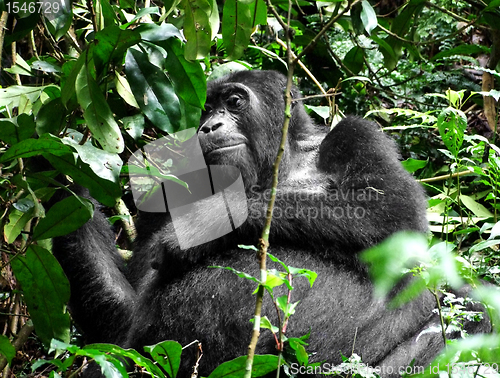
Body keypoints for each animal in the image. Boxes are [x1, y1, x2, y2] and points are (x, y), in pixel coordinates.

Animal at [52, 70, 490, 376]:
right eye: (206, 110)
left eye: (234, 101)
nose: (209, 126)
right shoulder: (169, 184)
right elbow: (124, 314)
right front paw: (66, 188)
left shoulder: (358, 134)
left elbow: (391, 214)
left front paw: (202, 225)